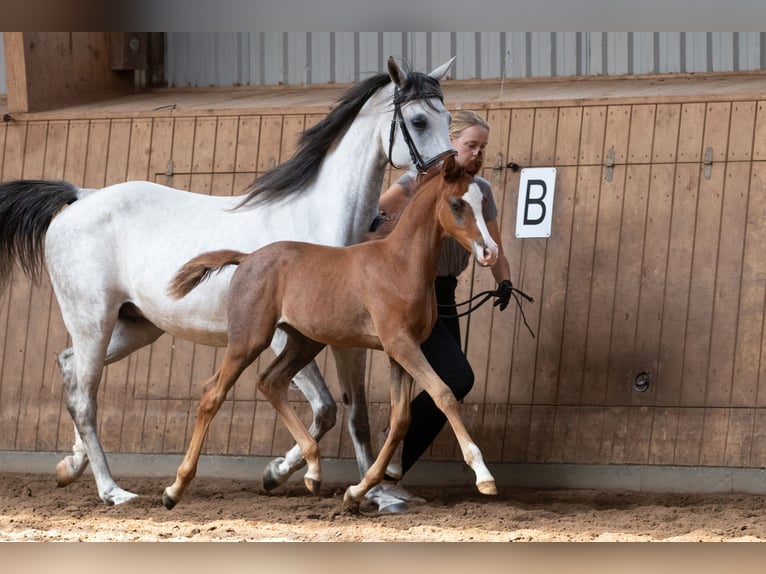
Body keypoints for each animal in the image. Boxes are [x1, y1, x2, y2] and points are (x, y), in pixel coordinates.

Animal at [164, 154, 498, 512]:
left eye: (483, 202)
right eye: (457, 203)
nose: (490, 251)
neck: (400, 265)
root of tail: (247, 258)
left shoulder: (400, 352)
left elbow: (401, 420)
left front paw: (357, 491)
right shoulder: (401, 344)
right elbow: (443, 393)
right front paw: (484, 475)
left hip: (303, 341)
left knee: (271, 382)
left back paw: (311, 470)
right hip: (249, 340)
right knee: (213, 393)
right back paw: (174, 489)